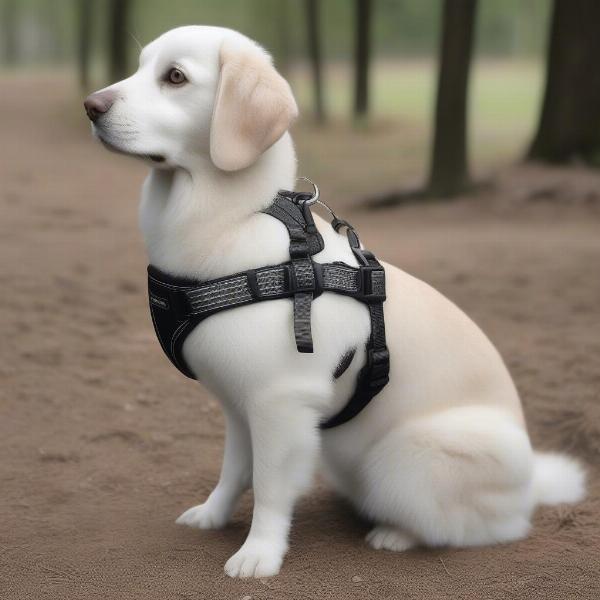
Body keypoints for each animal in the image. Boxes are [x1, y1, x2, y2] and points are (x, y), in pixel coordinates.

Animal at [85, 25, 584, 580]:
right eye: (138, 67)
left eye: (175, 77)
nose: (90, 105)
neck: (235, 222)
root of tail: (530, 485)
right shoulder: (239, 406)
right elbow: (235, 471)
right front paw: (213, 516)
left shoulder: (279, 402)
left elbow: (270, 487)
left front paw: (260, 552)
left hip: (402, 459)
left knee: (486, 528)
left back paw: (397, 534)